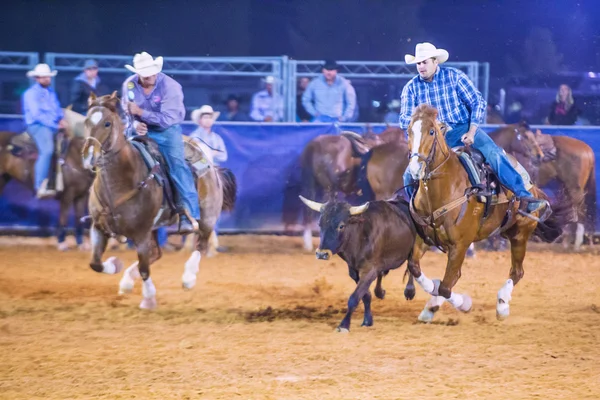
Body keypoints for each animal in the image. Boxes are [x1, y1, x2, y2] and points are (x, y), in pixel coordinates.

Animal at [0, 108, 94, 250]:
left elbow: (78, 219)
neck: (76, 157)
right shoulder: (67, 194)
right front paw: (61, 243)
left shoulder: (81, 195)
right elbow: (63, 218)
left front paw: (81, 244)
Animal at [82, 93, 237, 310]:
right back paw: (126, 282)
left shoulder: (141, 233)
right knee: (157, 254)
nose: (88, 156)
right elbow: (95, 263)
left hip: (207, 215)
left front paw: (149, 298)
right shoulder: (98, 227)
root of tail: (209, 163)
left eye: (107, 123)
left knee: (202, 243)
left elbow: (144, 267)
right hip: (154, 228)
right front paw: (115, 264)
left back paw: (188, 277)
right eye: (86, 121)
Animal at [300, 196, 418, 332]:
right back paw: (380, 291)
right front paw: (367, 320)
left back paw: (409, 290)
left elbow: (354, 297)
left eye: (341, 226)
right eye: (320, 224)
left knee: (412, 266)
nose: (321, 254)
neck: (360, 236)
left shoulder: (369, 270)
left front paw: (344, 325)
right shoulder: (354, 271)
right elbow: (365, 295)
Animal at [406, 105, 576, 322]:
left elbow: (446, 286)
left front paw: (464, 304)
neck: (443, 189)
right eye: (409, 131)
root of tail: (533, 188)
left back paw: (502, 305)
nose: (415, 168)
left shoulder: (460, 245)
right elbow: (417, 269)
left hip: (520, 234)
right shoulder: (424, 238)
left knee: (517, 272)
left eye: (431, 132)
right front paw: (431, 300)